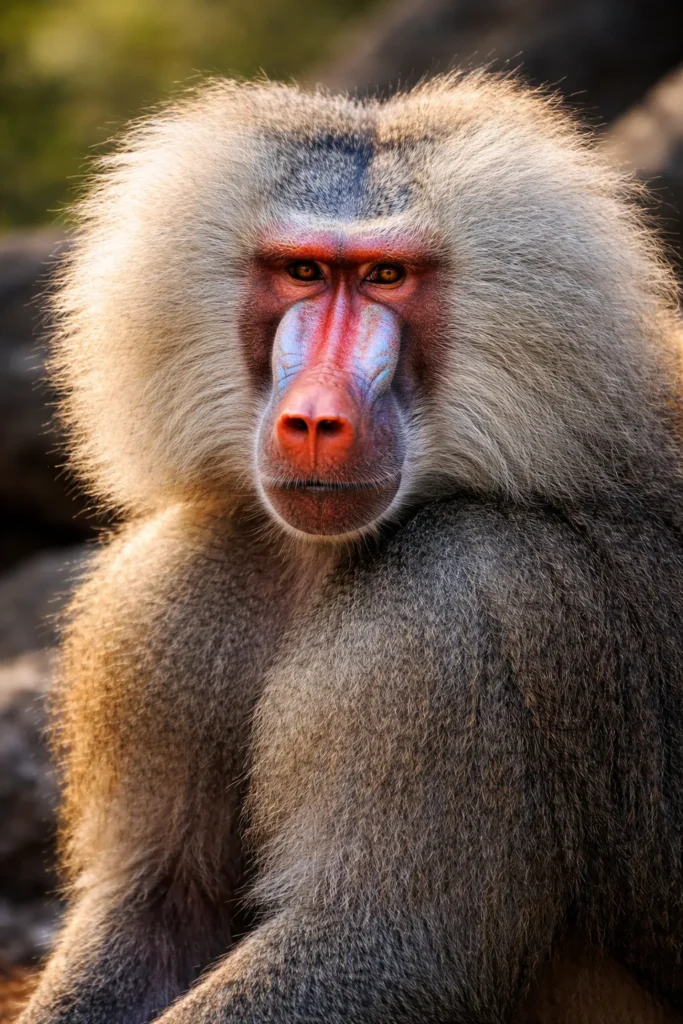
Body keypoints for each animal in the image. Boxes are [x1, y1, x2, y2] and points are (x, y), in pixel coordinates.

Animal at [16, 72, 683, 1024]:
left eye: (384, 277)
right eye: (302, 271)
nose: (314, 421)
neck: (317, 558)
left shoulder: (458, 613)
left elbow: (381, 940)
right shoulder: (177, 594)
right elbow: (154, 912)